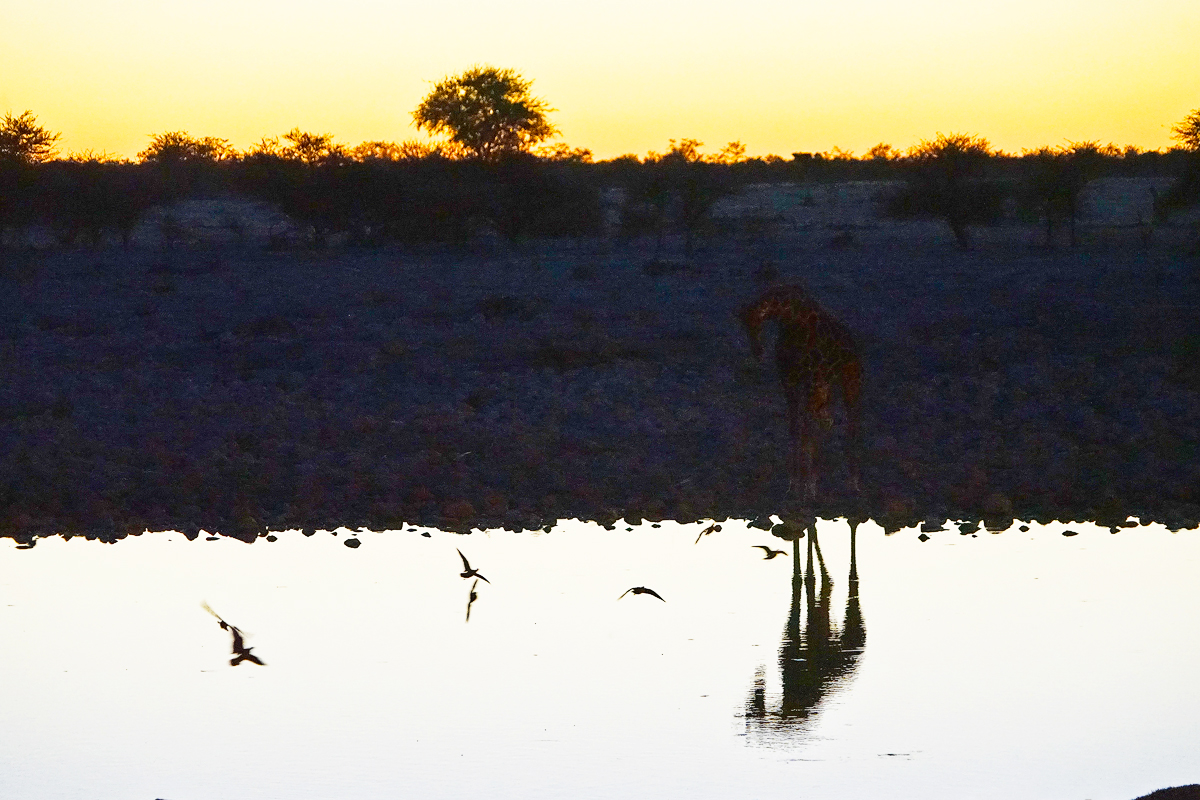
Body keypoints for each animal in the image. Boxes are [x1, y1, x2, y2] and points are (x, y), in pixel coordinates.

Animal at [739, 284, 864, 501]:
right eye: (745, 327)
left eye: (755, 324)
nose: (758, 351)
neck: (792, 320)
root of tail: (853, 345)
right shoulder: (790, 382)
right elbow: (795, 427)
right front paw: (795, 485)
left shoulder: (809, 382)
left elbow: (806, 428)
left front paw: (808, 488)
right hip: (824, 388)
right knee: (826, 421)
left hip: (849, 382)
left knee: (851, 426)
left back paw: (853, 483)